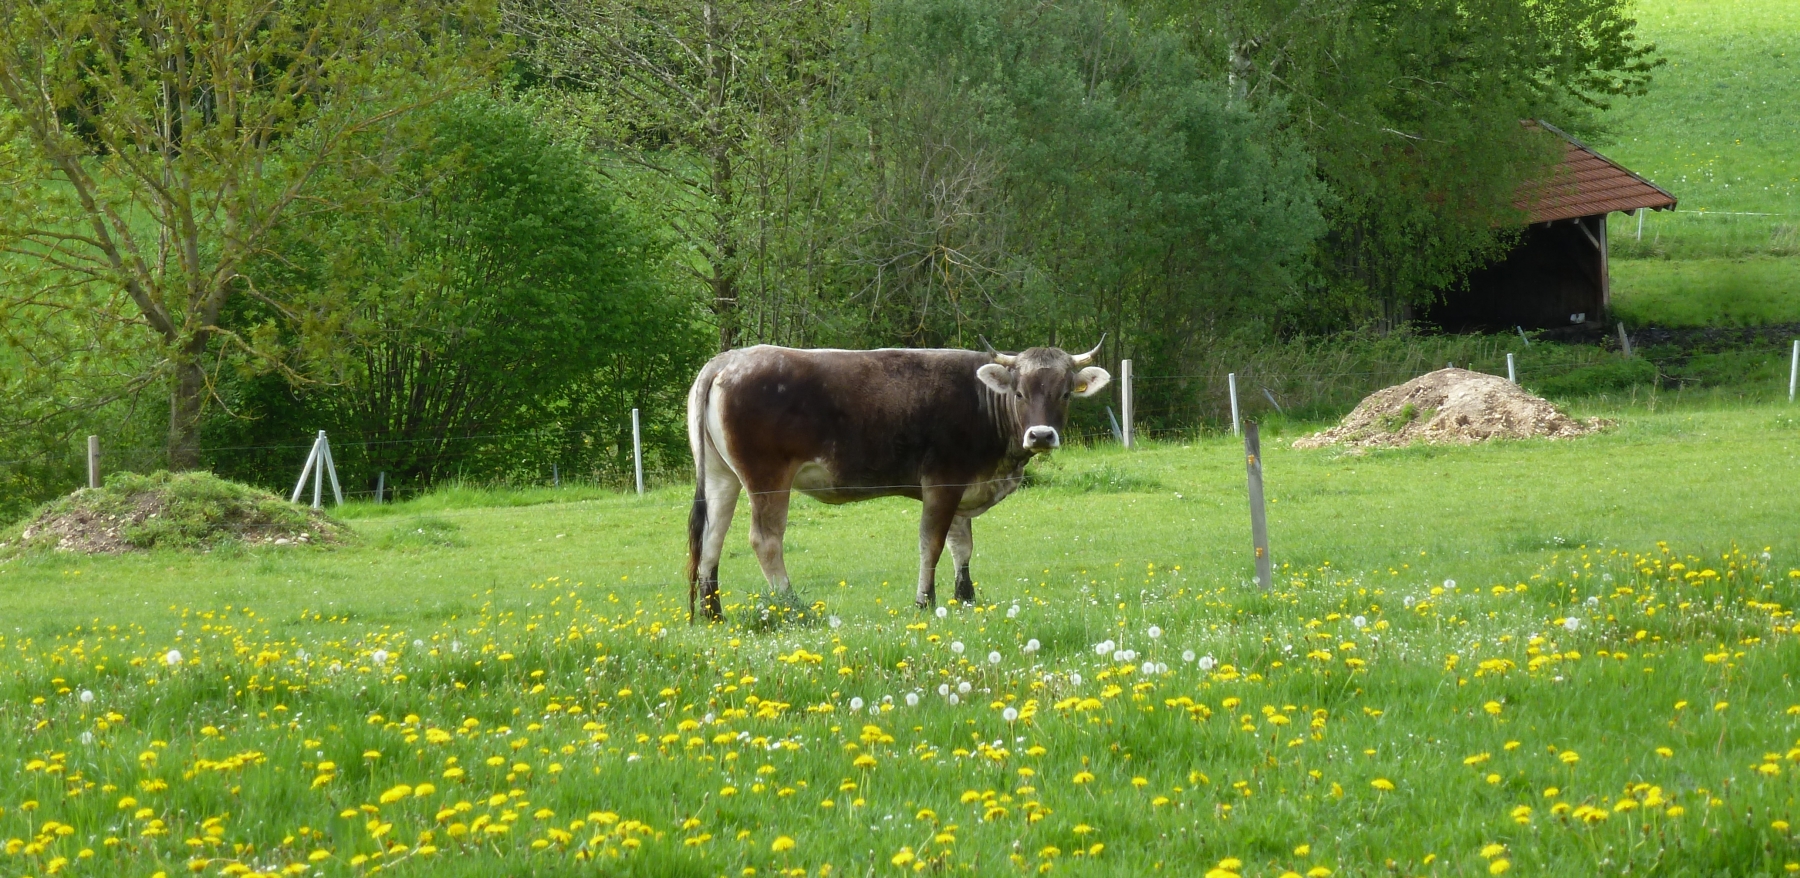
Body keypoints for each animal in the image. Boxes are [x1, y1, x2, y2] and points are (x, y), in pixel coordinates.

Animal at [684, 340, 1108, 622]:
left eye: (1065, 393)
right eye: (1019, 393)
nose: (1041, 435)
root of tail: (730, 358)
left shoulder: (963, 487)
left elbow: (962, 547)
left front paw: (965, 598)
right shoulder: (942, 482)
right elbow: (931, 545)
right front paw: (924, 601)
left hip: (722, 476)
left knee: (711, 538)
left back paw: (712, 613)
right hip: (767, 477)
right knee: (765, 540)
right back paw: (794, 606)